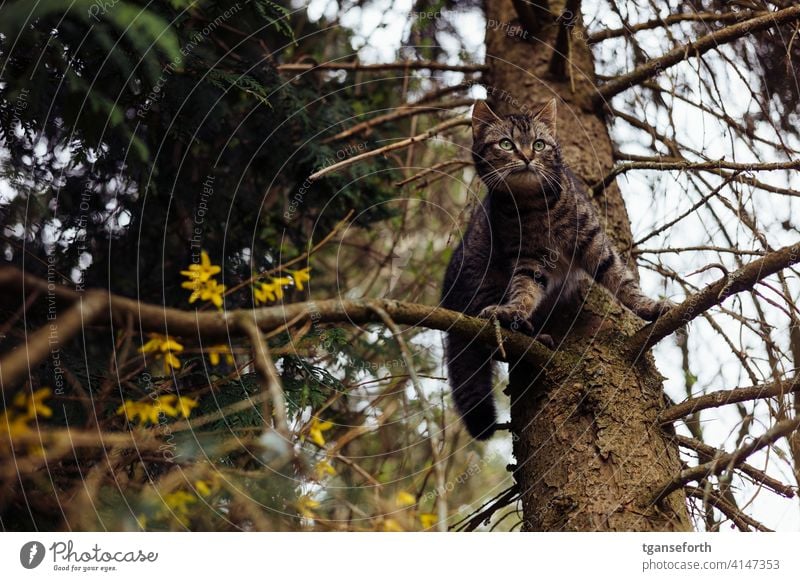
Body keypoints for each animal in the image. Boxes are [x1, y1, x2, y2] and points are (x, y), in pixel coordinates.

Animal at [440, 97, 672, 438]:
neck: (534, 204)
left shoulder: (594, 242)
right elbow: (525, 291)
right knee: (492, 345)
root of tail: (447, 296)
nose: (526, 156)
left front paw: (648, 306)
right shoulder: (528, 259)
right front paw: (514, 311)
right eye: (506, 144)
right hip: (482, 282)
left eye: (539, 144)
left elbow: (622, 280)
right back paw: (528, 331)